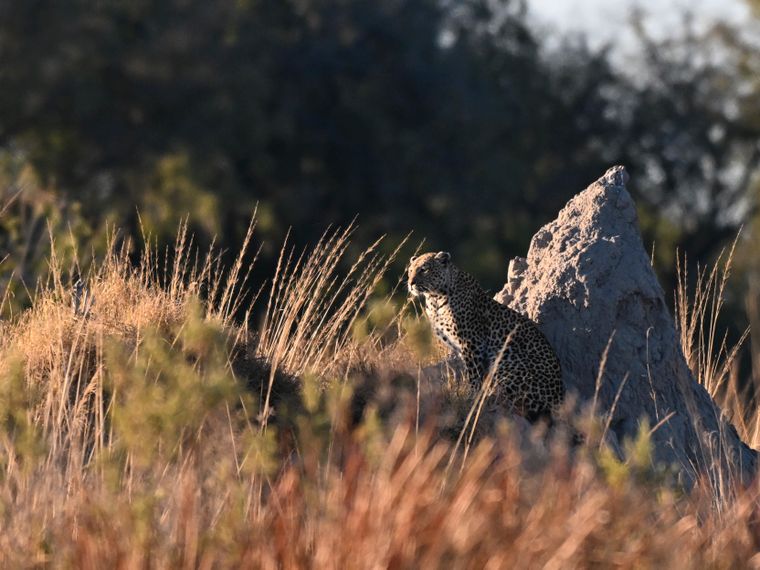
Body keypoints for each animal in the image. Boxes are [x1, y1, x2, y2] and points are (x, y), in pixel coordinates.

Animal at [408, 251, 564, 423]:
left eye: (424, 270)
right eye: (410, 271)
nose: (410, 283)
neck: (435, 298)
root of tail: (560, 401)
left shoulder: (471, 343)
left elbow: (474, 374)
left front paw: (472, 396)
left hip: (505, 364)